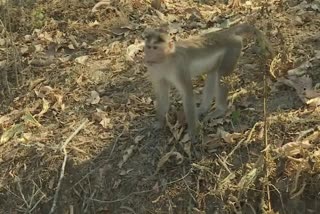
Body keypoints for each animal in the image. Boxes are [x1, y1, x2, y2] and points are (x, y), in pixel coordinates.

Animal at [144, 23, 274, 142]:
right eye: (148, 47)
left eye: (155, 48)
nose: (148, 56)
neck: (166, 60)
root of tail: (226, 33)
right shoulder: (154, 70)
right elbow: (162, 94)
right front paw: (160, 122)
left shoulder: (179, 67)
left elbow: (187, 93)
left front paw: (193, 132)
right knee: (213, 72)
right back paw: (203, 108)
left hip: (232, 50)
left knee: (221, 75)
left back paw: (220, 110)